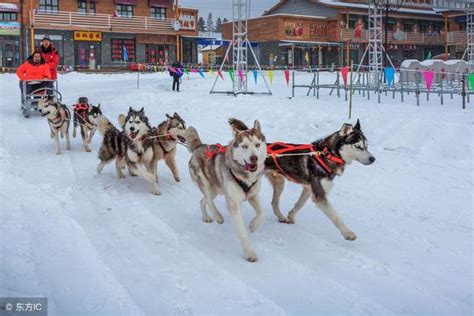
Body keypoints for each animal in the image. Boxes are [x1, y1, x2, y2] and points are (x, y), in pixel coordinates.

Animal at [185, 118, 266, 262]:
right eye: (244, 146)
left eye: (257, 145)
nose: (254, 158)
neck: (245, 176)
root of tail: (200, 146)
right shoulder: (233, 203)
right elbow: (242, 232)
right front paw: (249, 253)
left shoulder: (253, 195)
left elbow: (262, 213)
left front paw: (253, 225)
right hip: (206, 184)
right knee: (209, 200)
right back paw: (217, 216)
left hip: (216, 189)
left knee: (203, 200)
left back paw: (206, 217)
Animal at [231, 118, 376, 239]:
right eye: (357, 146)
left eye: (367, 146)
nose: (373, 159)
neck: (327, 154)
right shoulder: (320, 195)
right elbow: (336, 217)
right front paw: (348, 233)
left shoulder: (308, 188)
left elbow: (299, 205)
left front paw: (291, 216)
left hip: (280, 182)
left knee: (274, 203)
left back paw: (281, 217)